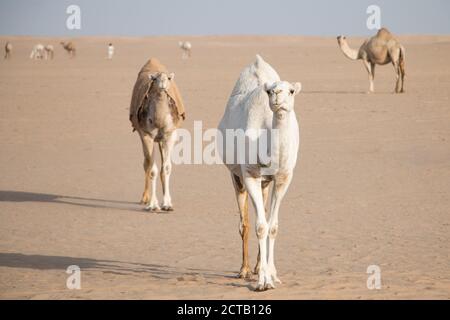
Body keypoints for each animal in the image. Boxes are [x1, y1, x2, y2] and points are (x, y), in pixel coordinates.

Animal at [128, 58, 186, 211]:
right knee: (146, 164)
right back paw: (145, 199)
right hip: (143, 136)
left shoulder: (169, 135)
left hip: (160, 140)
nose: (163, 85)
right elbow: (152, 169)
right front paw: (153, 205)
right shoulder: (147, 135)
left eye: (168, 78)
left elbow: (166, 168)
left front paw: (167, 204)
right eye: (154, 79)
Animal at [219, 54, 302, 290]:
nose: (277, 95)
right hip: (235, 175)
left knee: (262, 212)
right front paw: (263, 281)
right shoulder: (249, 174)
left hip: (266, 182)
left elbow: (272, 227)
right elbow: (259, 226)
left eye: (291, 91)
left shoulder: (283, 177)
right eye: (269, 91)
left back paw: (256, 267)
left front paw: (272, 274)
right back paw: (245, 270)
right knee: (245, 222)